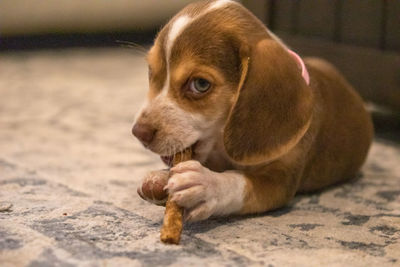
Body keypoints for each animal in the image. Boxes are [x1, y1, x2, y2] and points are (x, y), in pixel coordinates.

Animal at [133, 0, 374, 222]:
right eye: (151, 72)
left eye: (200, 84)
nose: (138, 133)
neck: (222, 143)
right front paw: (161, 178)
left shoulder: (279, 180)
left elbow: (238, 181)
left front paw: (206, 185)